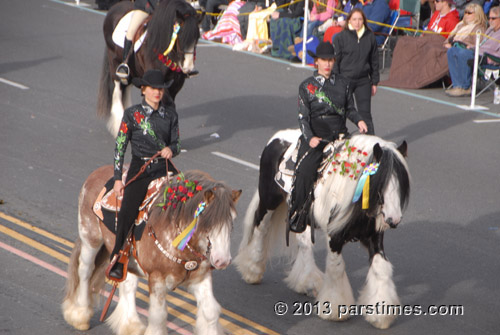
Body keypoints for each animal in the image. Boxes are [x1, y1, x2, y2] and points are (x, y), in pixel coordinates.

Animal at [61, 167, 241, 335]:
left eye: (232, 221)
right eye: (208, 221)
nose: (222, 261)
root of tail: (98, 172)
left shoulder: (200, 278)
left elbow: (210, 311)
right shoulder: (157, 278)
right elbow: (159, 315)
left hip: (126, 259)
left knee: (128, 284)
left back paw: (131, 325)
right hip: (90, 238)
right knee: (85, 270)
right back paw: (80, 315)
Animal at [234, 129, 410, 330]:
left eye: (402, 184)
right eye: (381, 181)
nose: (393, 219)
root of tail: (276, 138)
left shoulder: (374, 237)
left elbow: (381, 268)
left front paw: (381, 315)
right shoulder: (335, 237)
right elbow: (336, 268)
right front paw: (334, 310)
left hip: (300, 215)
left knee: (303, 242)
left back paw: (306, 282)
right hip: (269, 199)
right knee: (260, 227)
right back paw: (252, 270)